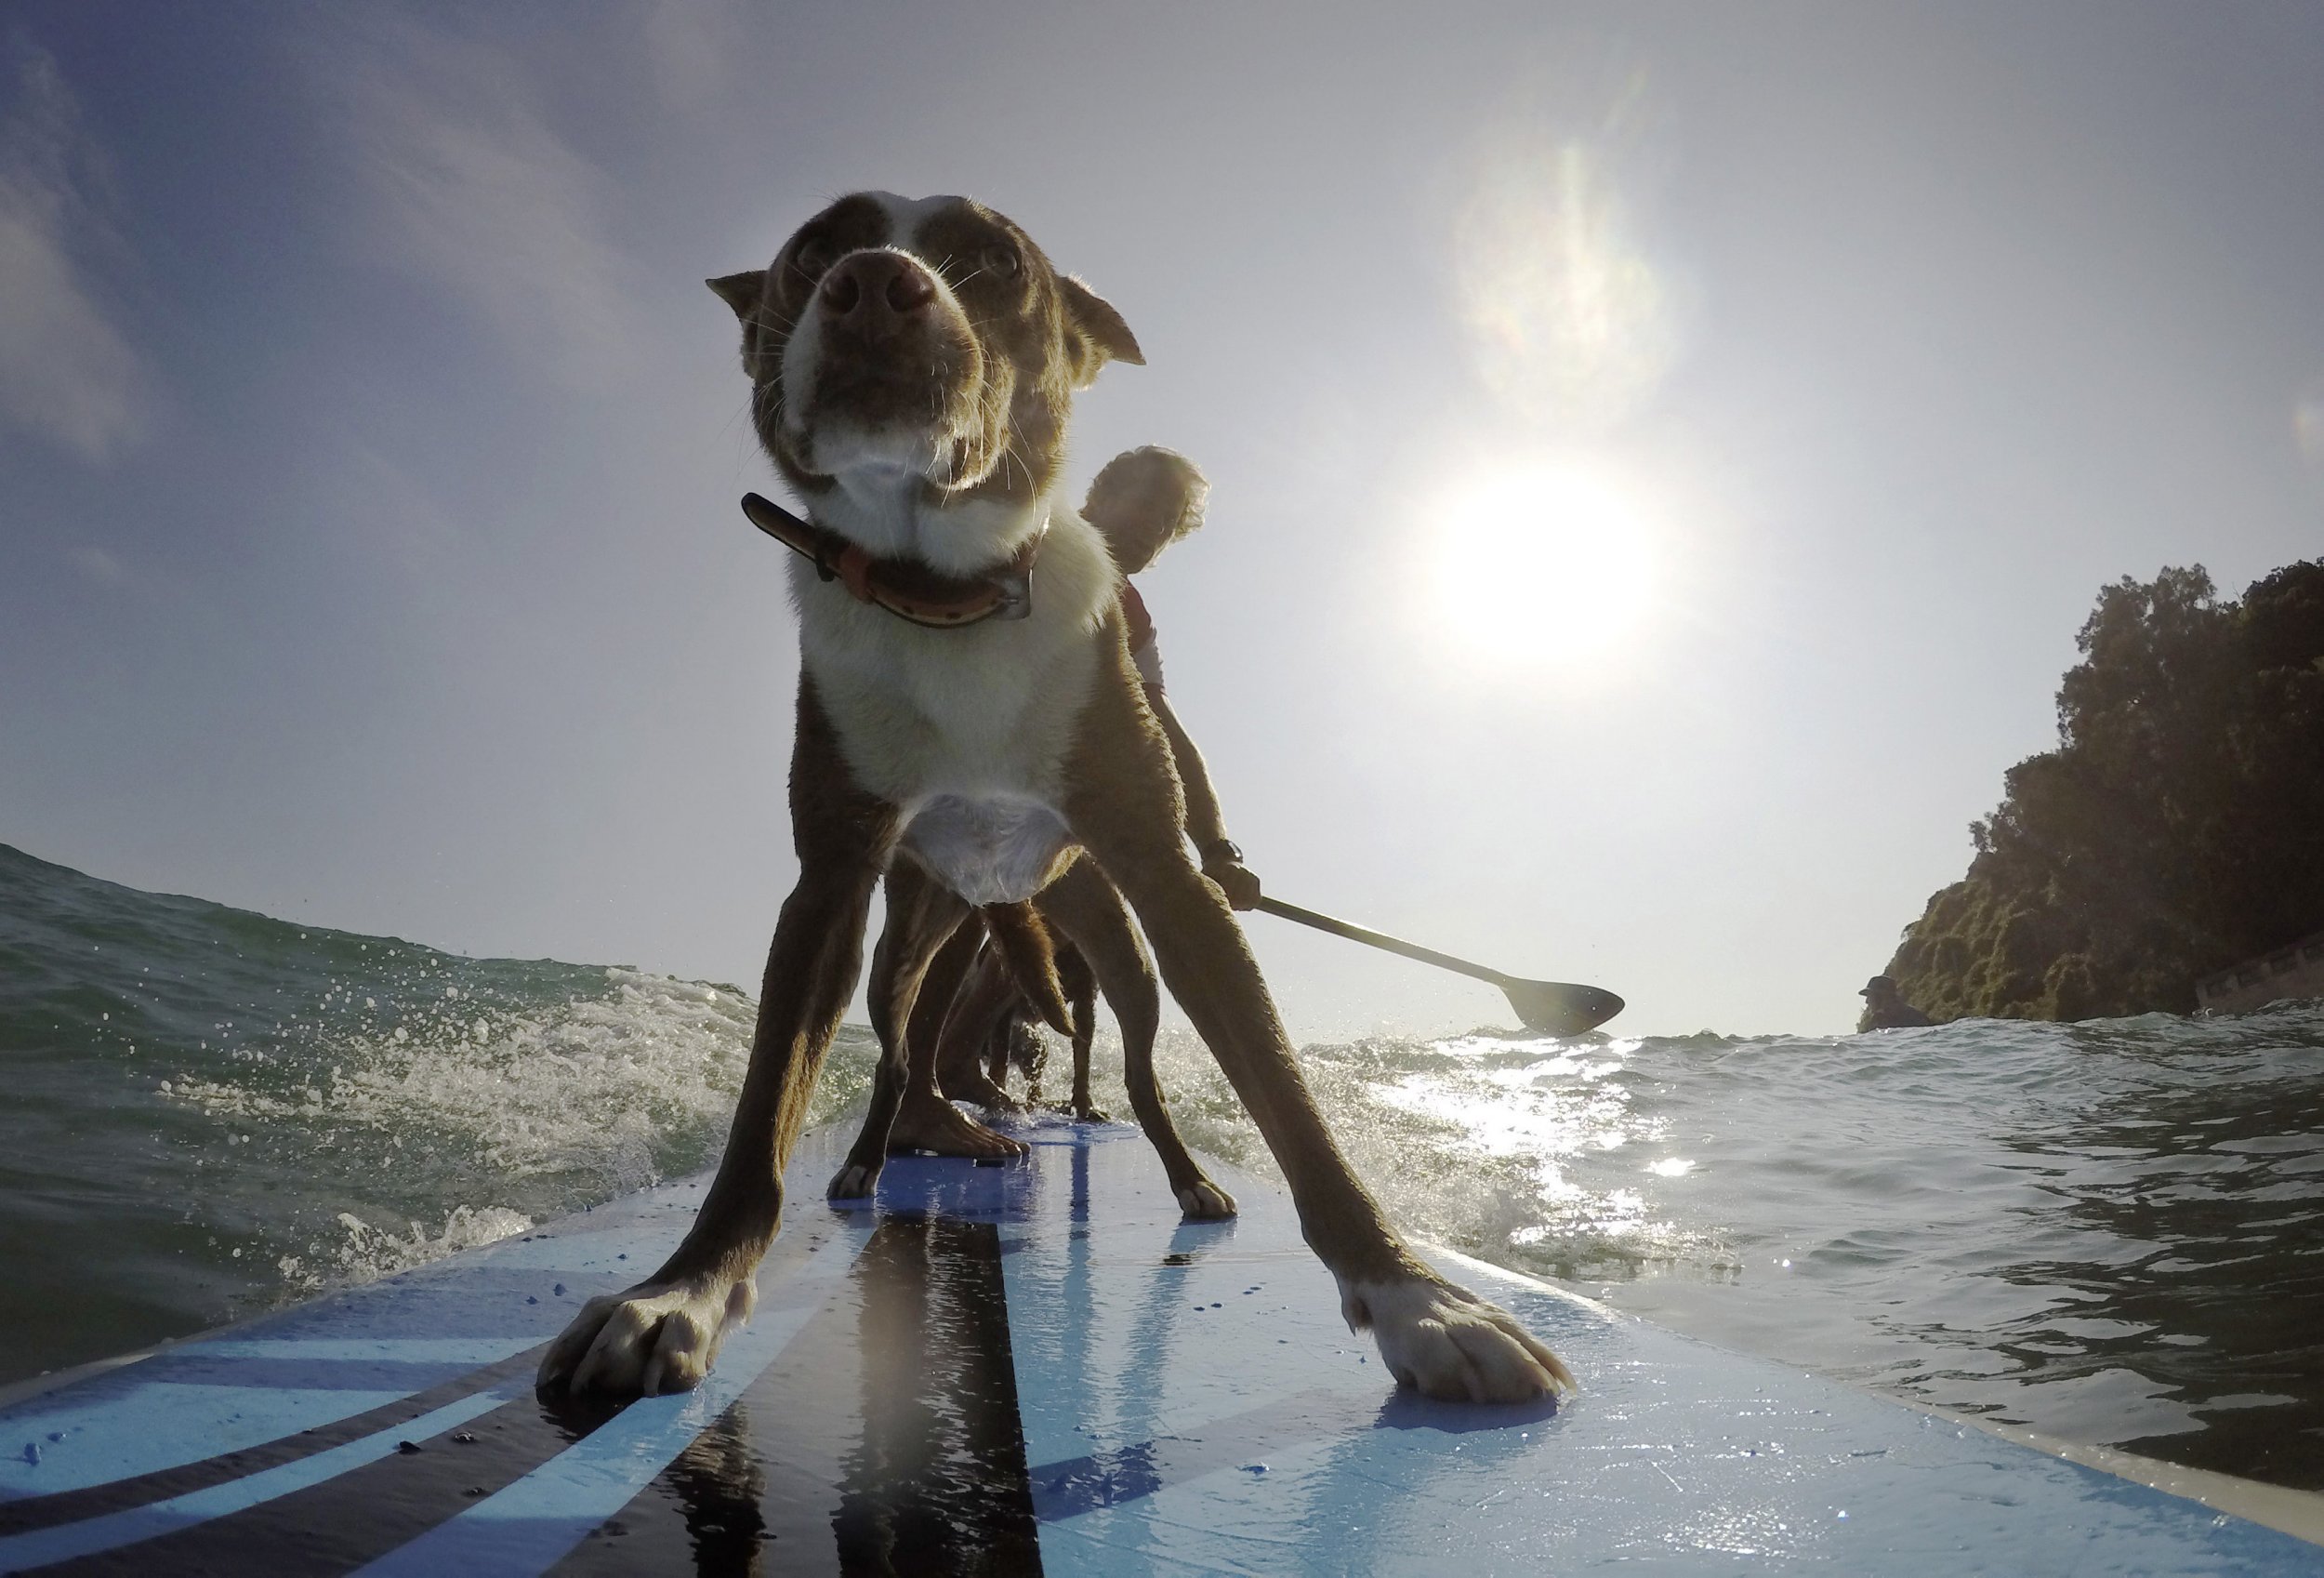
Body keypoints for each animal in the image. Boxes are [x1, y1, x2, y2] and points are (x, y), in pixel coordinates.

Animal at [535, 193, 1571, 1403]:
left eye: (993, 261)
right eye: (815, 248)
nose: (874, 282)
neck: (948, 597)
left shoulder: (1164, 874)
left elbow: (1287, 1100)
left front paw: (1418, 1298)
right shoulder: (828, 884)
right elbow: (761, 1116)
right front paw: (681, 1289)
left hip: (1106, 940)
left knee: (1134, 1072)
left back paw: (1183, 1176)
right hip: (922, 928)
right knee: (902, 1045)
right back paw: (873, 1156)